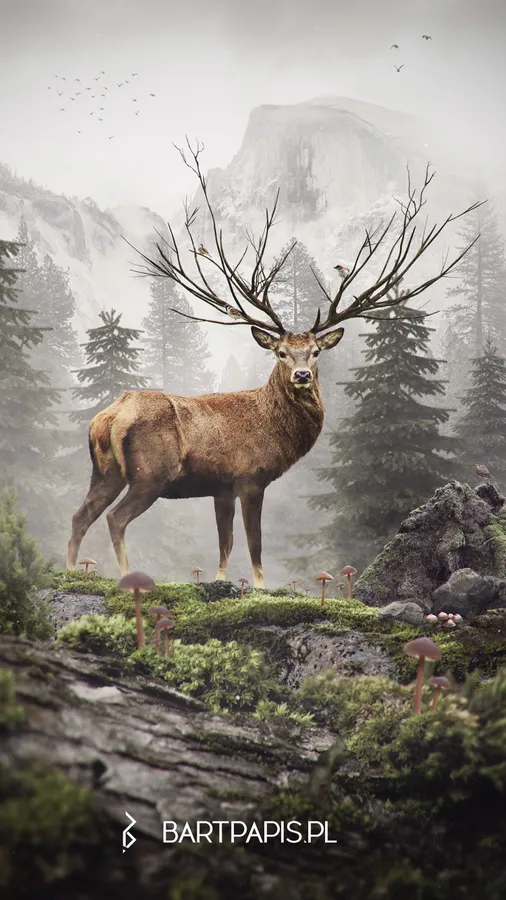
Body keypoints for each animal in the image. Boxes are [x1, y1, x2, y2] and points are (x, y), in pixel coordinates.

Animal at [67, 141, 480, 587]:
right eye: (280, 352)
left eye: (315, 352)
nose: (301, 375)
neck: (274, 430)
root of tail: (109, 417)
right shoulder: (251, 476)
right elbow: (254, 543)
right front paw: (261, 586)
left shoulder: (221, 486)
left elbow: (225, 544)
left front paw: (221, 580)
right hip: (150, 473)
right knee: (115, 518)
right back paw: (127, 576)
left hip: (105, 471)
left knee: (79, 515)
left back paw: (70, 570)